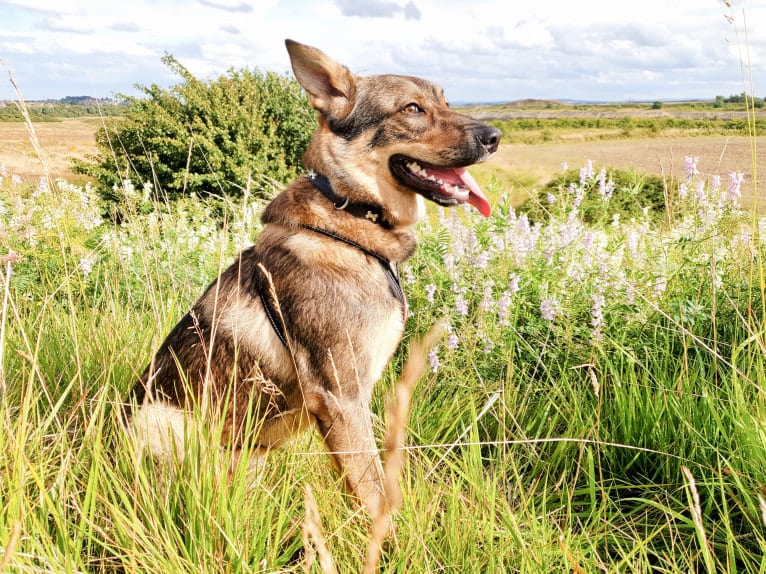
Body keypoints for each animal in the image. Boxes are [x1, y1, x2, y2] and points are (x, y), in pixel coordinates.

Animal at [127, 41, 504, 516]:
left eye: (446, 102)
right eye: (412, 109)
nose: (494, 137)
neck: (352, 215)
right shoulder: (340, 396)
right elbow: (374, 493)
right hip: (164, 420)